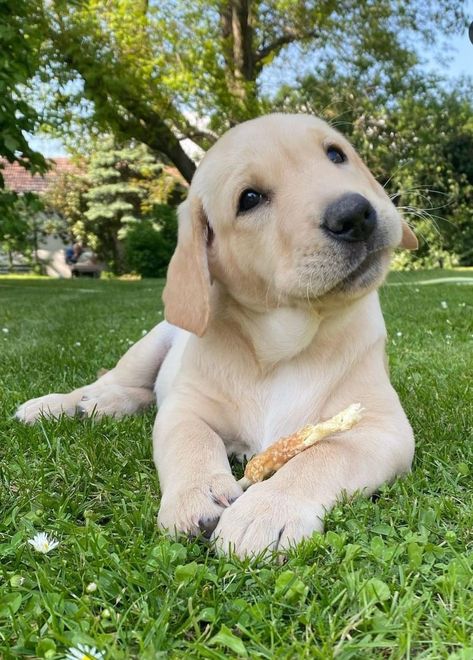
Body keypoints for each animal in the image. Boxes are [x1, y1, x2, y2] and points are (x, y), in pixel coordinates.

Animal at [16, 114, 416, 556]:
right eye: (250, 198)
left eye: (336, 155)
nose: (355, 214)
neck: (285, 346)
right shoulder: (185, 408)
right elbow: (192, 443)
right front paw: (198, 495)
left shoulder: (382, 427)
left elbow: (323, 455)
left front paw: (266, 512)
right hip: (149, 344)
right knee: (108, 383)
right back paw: (62, 404)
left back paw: (107, 406)